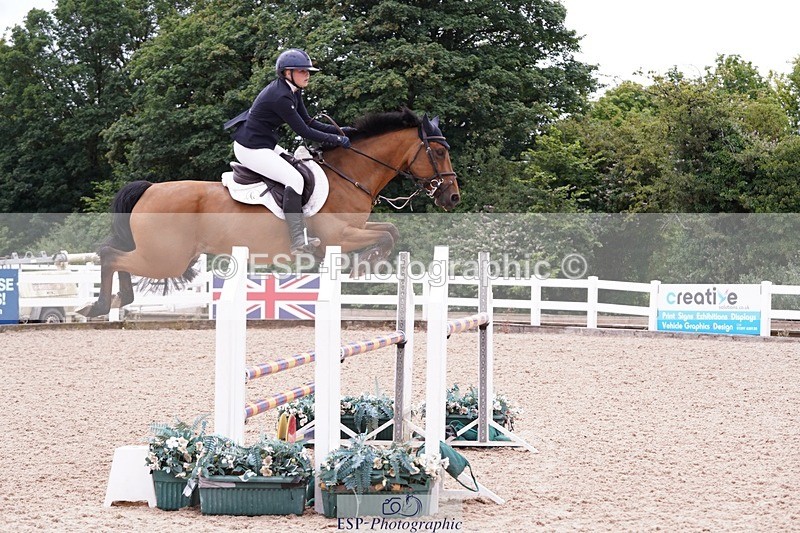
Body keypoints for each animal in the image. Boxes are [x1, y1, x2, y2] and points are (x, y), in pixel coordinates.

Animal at [77, 109, 459, 317]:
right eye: (439, 152)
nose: (452, 197)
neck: (349, 174)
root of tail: (150, 189)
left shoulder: (356, 227)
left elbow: (391, 230)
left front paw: (365, 263)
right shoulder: (338, 236)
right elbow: (387, 234)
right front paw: (365, 263)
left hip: (162, 256)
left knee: (115, 256)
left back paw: (113, 301)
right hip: (165, 258)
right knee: (111, 255)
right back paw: (100, 305)